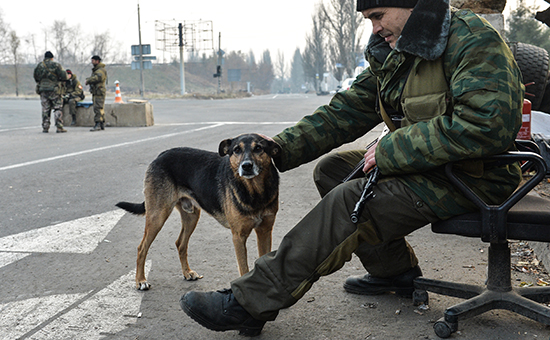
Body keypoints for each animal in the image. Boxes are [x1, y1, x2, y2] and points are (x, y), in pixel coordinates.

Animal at [116, 133, 280, 290]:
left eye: (258, 148)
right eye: (236, 150)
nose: (246, 166)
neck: (255, 192)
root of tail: (160, 155)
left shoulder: (265, 231)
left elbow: (264, 261)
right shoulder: (238, 237)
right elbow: (244, 269)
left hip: (191, 216)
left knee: (180, 243)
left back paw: (187, 273)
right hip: (158, 216)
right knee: (142, 248)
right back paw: (141, 281)